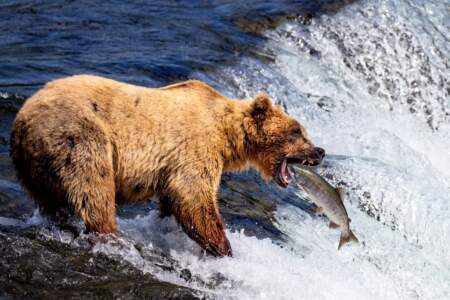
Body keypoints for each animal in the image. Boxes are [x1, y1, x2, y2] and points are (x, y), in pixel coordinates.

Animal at [9, 74, 324, 255]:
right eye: (297, 131)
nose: (320, 151)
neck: (227, 136)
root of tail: (23, 117)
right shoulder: (195, 146)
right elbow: (194, 197)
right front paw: (224, 247)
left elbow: (175, 200)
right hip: (80, 135)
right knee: (94, 187)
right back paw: (110, 234)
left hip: (34, 163)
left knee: (50, 199)